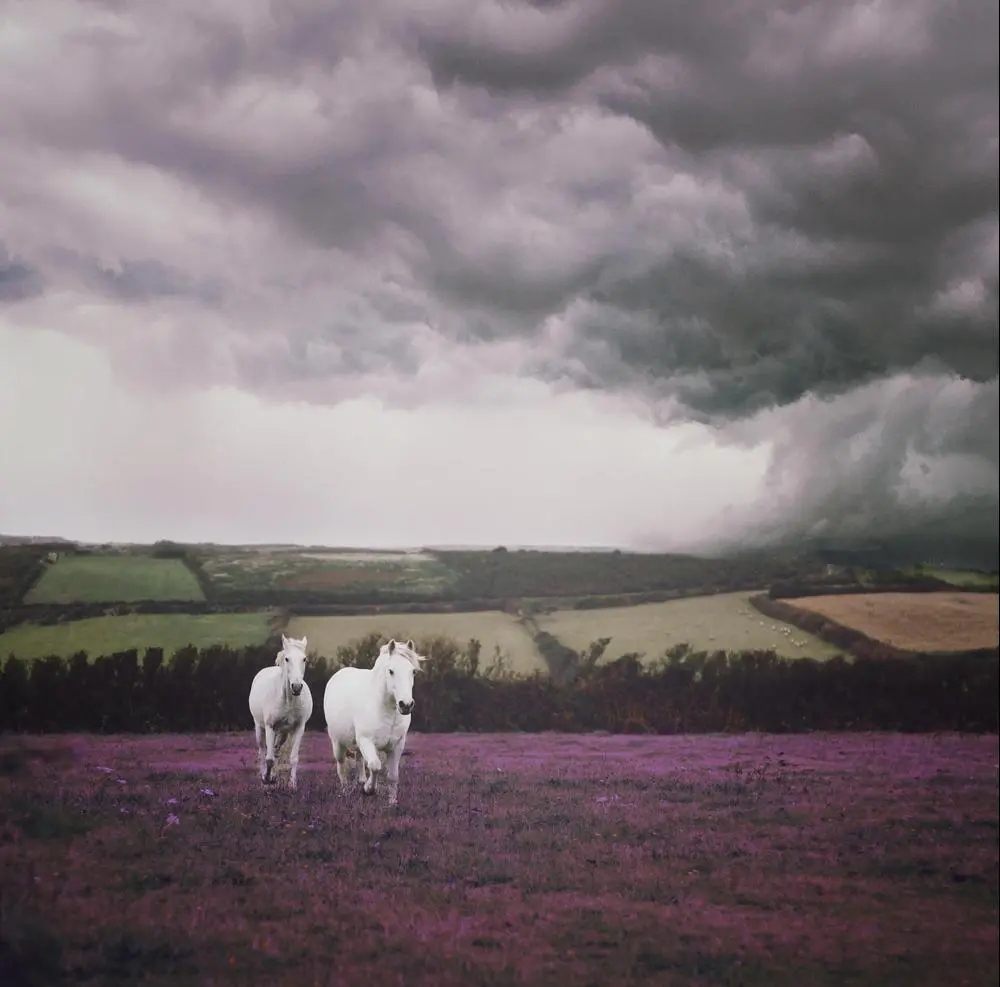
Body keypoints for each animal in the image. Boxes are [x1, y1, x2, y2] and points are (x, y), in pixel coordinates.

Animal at [247, 636, 312, 792]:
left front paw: (292, 784)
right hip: (260, 728)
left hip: (283, 733)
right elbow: (268, 758)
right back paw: (264, 778)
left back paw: (274, 776)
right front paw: (266, 779)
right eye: (287, 659)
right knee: (262, 751)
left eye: (304, 659)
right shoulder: (270, 727)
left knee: (276, 750)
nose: (296, 687)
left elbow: (293, 758)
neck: (288, 700)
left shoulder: (299, 728)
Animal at [324, 640, 426, 804]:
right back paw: (345, 792)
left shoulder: (397, 746)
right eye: (391, 671)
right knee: (342, 767)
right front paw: (369, 789)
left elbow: (393, 776)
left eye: (413, 672)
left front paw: (392, 803)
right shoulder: (366, 741)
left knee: (359, 759)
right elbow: (375, 765)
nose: (405, 705)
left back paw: (361, 781)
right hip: (337, 743)